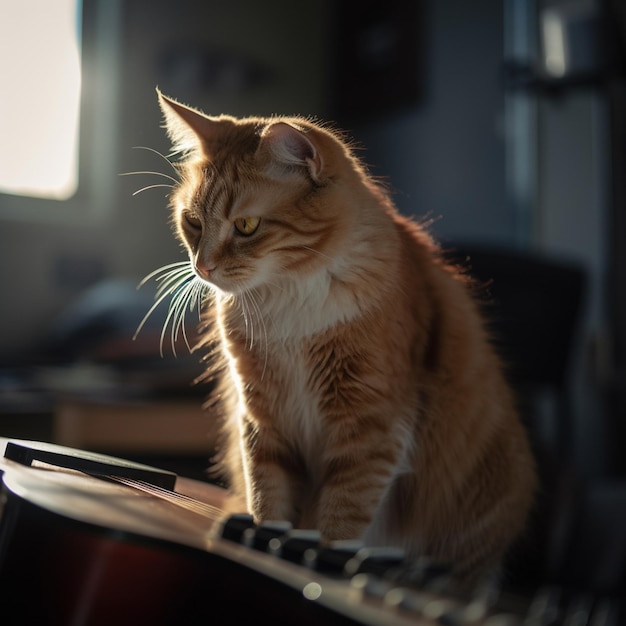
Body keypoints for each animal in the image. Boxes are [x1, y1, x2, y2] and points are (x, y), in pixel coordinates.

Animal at [149, 89, 532, 584]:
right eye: (193, 222)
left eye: (247, 227)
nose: (202, 267)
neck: (286, 303)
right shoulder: (261, 416)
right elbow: (268, 495)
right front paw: (261, 534)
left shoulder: (369, 424)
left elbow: (343, 514)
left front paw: (320, 554)